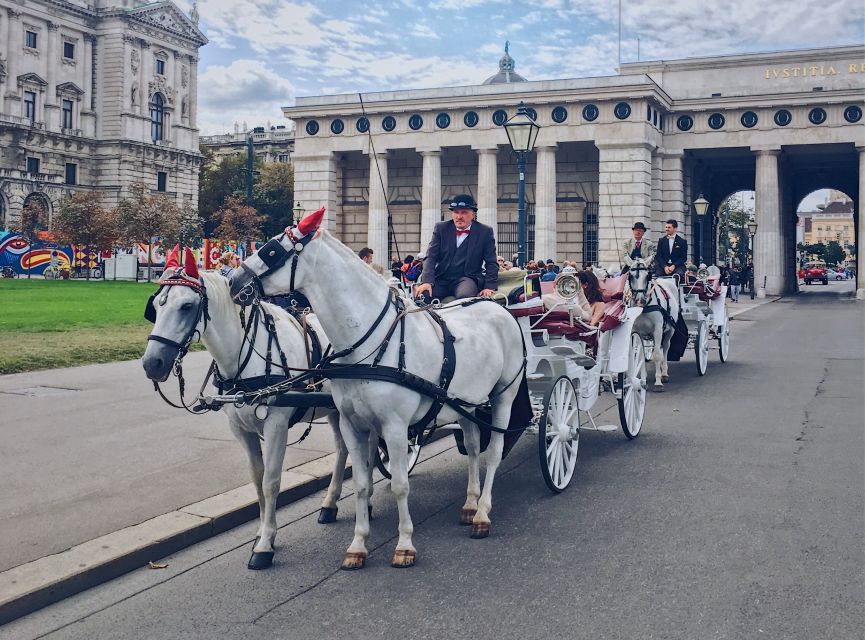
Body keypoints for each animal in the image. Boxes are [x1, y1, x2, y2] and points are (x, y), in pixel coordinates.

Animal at [140, 249, 372, 568]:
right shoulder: (241, 430)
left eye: (186, 306)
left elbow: (271, 481)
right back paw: (329, 504)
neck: (244, 357)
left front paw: (265, 545)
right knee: (343, 450)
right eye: (155, 306)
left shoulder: (276, 427)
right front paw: (264, 532)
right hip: (337, 412)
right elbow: (257, 480)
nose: (152, 364)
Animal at [228, 210, 528, 568]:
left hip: (503, 397)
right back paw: (470, 504)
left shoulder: (395, 428)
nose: (232, 281)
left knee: (493, 452)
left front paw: (404, 544)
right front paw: (358, 545)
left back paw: (482, 513)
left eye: (272, 250)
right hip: (466, 404)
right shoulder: (352, 424)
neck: (368, 342)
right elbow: (360, 483)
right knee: (471, 447)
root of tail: (497, 305)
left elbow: (400, 485)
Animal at [624, 258, 680, 390]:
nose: (640, 301)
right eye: (631, 276)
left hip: (669, 331)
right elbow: (637, 354)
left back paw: (664, 373)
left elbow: (657, 355)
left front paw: (658, 381)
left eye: (648, 276)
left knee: (665, 348)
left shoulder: (658, 330)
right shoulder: (635, 330)